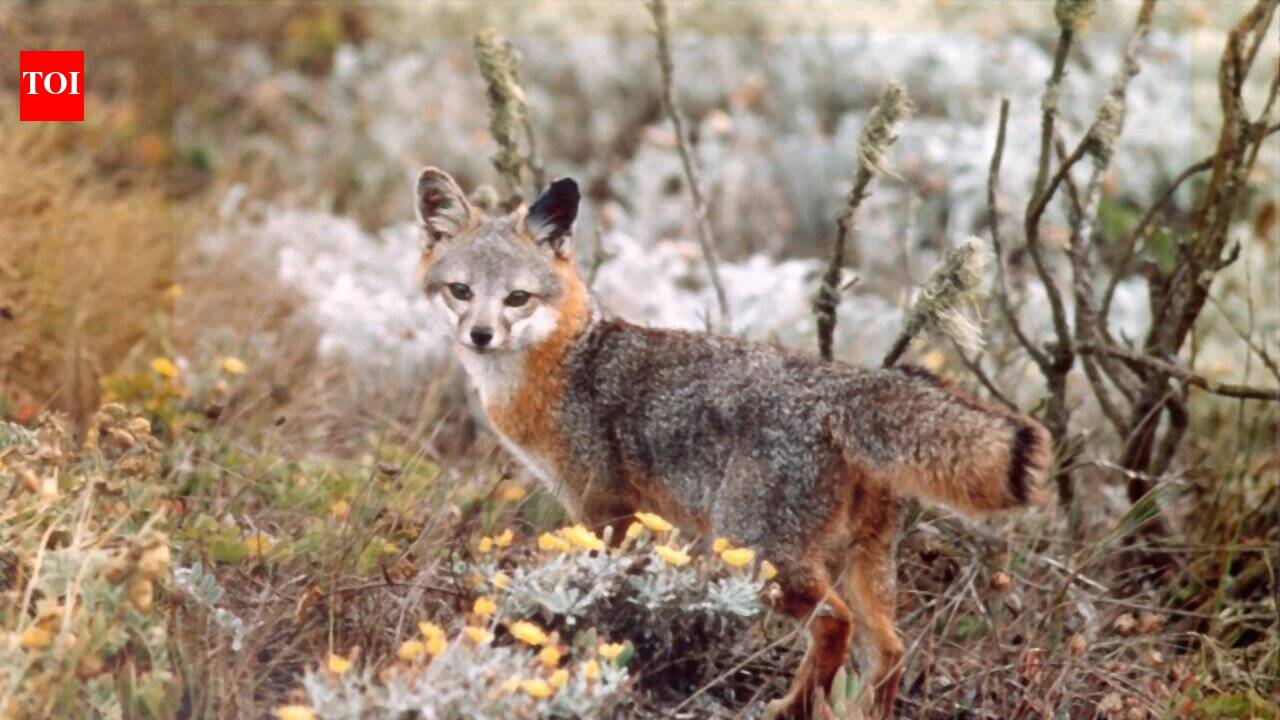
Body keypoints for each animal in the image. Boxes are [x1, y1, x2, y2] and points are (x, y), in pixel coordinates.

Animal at [415, 168, 1052, 719]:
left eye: (517, 298)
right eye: (461, 291)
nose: (480, 335)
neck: (567, 361)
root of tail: (845, 384)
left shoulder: (603, 509)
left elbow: (597, 588)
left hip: (759, 554)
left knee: (835, 624)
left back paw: (789, 708)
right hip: (860, 562)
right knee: (890, 649)